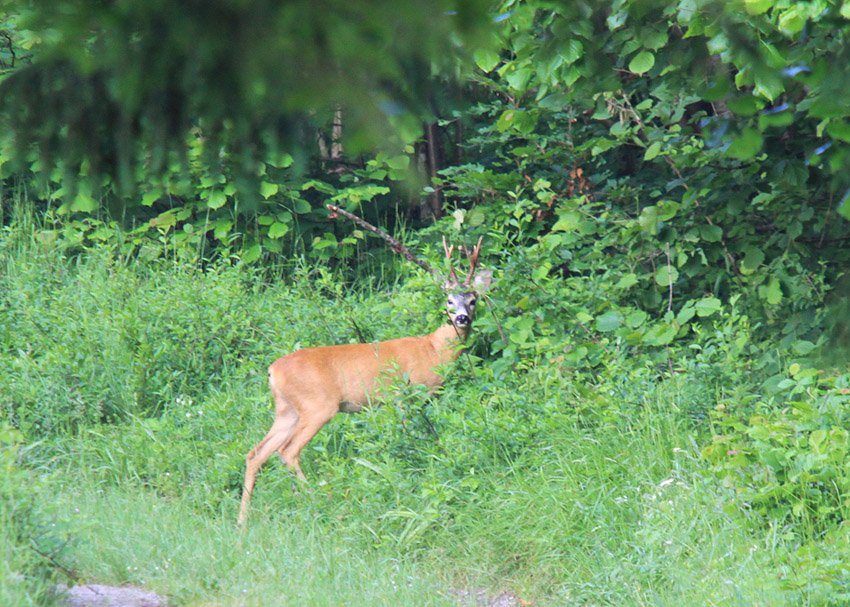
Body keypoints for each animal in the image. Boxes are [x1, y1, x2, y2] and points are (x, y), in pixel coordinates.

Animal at [237, 207, 490, 524]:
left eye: (473, 299)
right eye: (448, 300)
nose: (462, 318)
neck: (434, 350)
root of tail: (273, 371)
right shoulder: (404, 394)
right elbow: (410, 434)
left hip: (286, 409)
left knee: (256, 453)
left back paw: (242, 520)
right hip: (317, 404)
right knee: (287, 450)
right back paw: (316, 498)